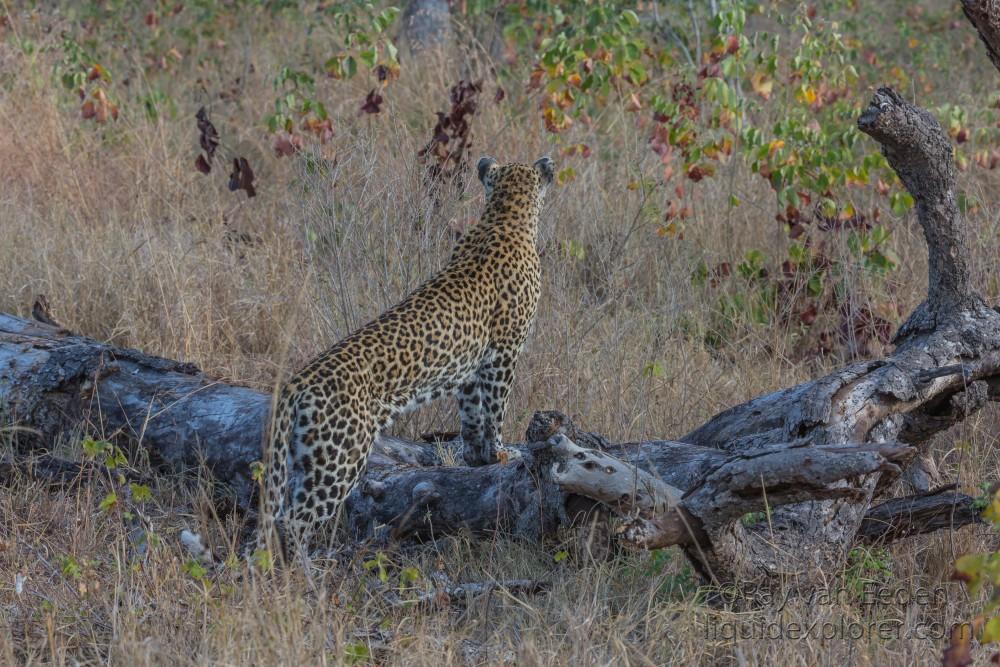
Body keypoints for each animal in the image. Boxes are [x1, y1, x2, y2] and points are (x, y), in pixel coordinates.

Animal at [258, 157, 556, 560]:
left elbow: (472, 415)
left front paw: (477, 457)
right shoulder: (503, 352)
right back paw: (308, 568)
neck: (505, 216)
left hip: (303, 457)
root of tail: (296, 382)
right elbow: (495, 409)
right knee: (294, 520)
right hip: (340, 455)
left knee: (281, 515)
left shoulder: (469, 368)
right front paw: (499, 452)